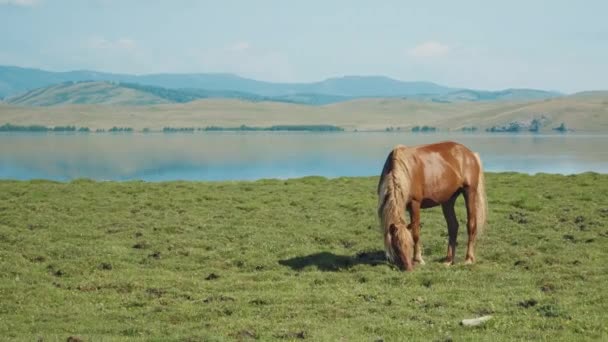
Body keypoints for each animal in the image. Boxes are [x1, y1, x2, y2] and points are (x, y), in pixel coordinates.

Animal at [378, 141, 486, 270]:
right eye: (397, 247)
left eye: (410, 244)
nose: (409, 268)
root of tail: (470, 154)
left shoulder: (415, 203)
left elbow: (416, 232)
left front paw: (418, 259)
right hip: (448, 200)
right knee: (453, 226)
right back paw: (448, 260)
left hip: (469, 192)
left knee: (471, 224)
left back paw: (469, 259)